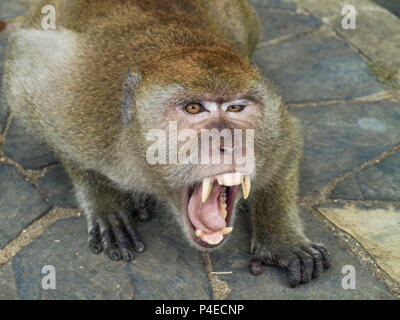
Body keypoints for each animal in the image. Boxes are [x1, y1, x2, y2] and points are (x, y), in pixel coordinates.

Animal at [2, 0, 332, 288]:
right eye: (194, 108)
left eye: (236, 108)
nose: (229, 143)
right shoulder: (79, 107)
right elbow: (29, 80)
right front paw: (104, 199)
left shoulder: (272, 132)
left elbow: (289, 144)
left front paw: (281, 240)